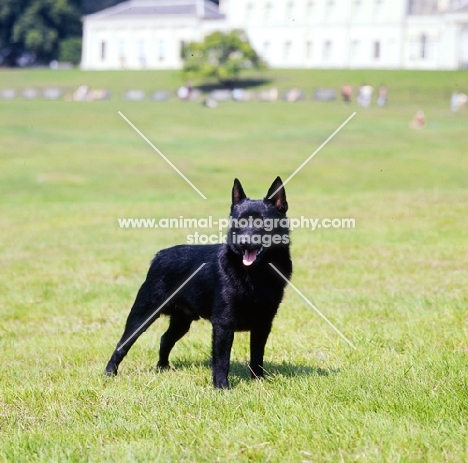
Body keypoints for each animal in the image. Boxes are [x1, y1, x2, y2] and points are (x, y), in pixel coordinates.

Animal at [105, 178, 292, 388]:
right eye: (239, 222)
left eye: (262, 222)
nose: (244, 242)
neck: (255, 274)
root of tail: (159, 255)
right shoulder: (223, 324)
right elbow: (222, 360)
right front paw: (222, 387)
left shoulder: (263, 323)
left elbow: (257, 356)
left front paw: (258, 381)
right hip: (142, 314)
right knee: (122, 344)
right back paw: (109, 373)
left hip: (182, 321)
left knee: (165, 339)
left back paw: (162, 368)